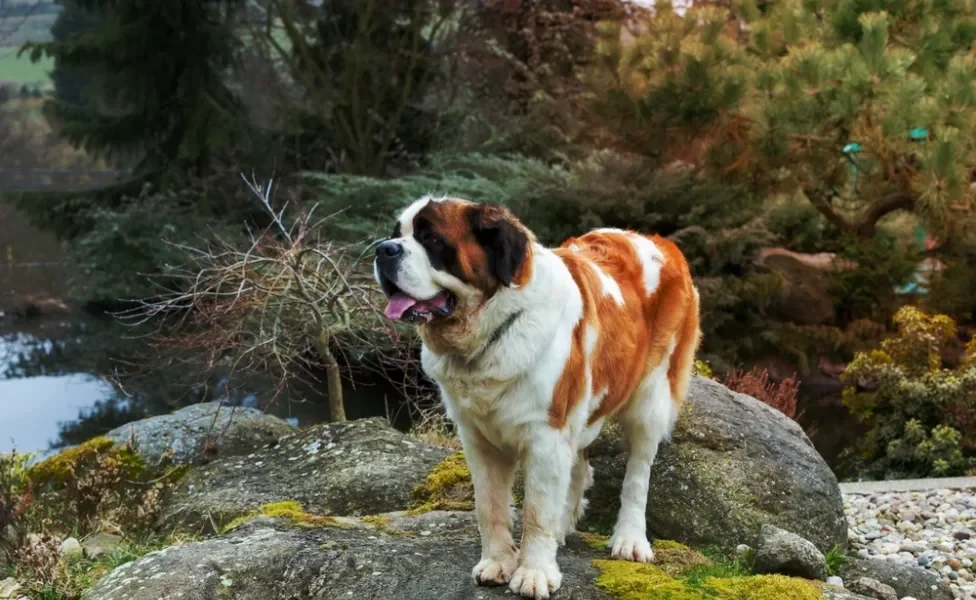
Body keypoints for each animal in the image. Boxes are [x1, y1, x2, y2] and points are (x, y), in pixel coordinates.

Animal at [374, 196, 700, 596]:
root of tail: (659, 242)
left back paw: (630, 539)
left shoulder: (546, 433)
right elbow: (490, 506)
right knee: (580, 466)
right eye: (396, 233)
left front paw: (534, 572)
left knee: (638, 472)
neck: (493, 329)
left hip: (650, 399)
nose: (383, 250)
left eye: (431, 238)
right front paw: (497, 562)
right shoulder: (479, 439)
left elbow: (536, 510)